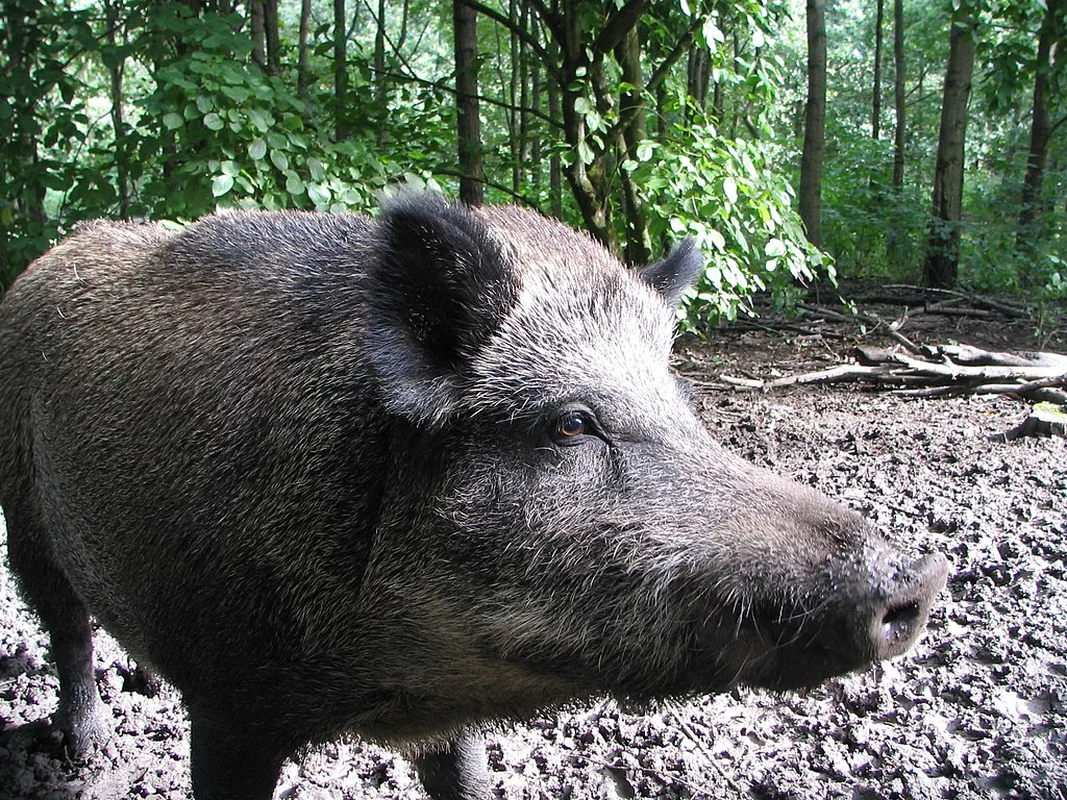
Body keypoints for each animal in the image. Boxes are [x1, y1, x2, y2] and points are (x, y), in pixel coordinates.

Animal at [0, 193, 948, 800]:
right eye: (571, 424)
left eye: (680, 401)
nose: (921, 576)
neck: (396, 678)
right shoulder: (233, 699)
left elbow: (465, 781)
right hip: (23, 513)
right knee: (66, 627)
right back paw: (81, 751)